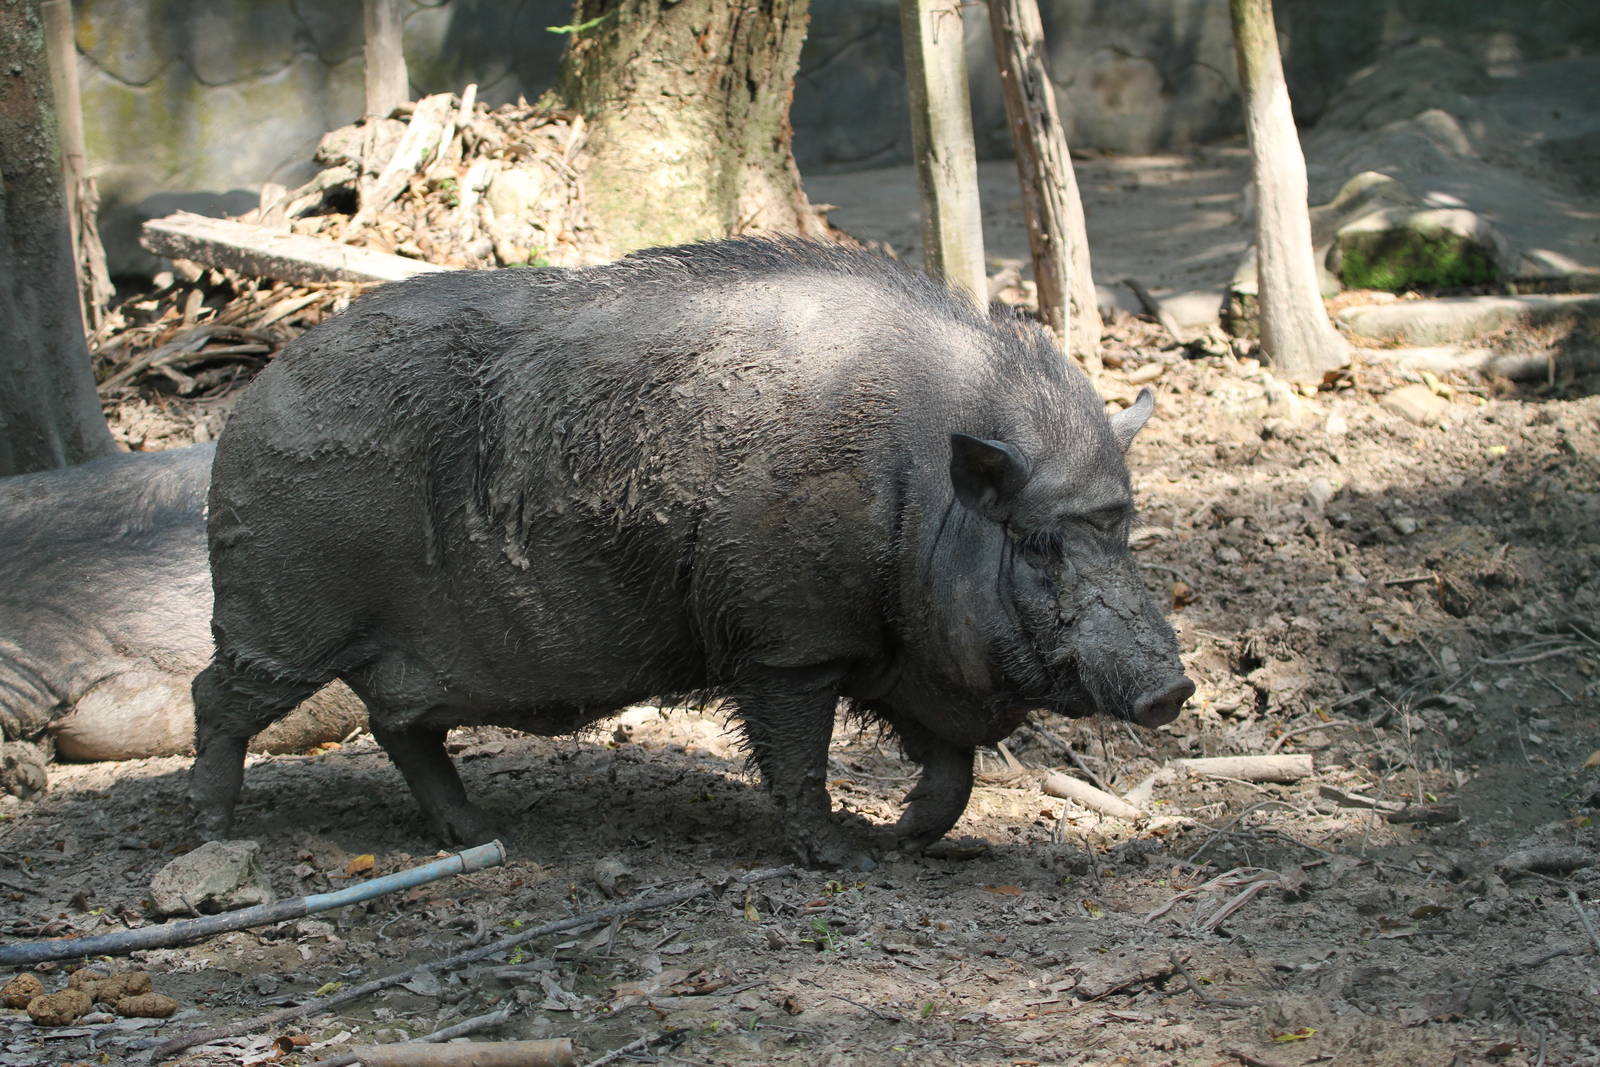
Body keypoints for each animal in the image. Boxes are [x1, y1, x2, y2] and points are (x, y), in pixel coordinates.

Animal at [192, 237, 1191, 864]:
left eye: (1122, 528)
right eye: (1038, 541)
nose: (1172, 688)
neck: (921, 496)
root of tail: (251, 397)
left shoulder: (903, 658)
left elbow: (952, 772)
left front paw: (903, 838)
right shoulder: (792, 639)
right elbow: (797, 755)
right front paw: (843, 857)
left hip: (396, 654)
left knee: (401, 729)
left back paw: (479, 832)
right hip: (280, 616)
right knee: (218, 697)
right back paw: (209, 829)